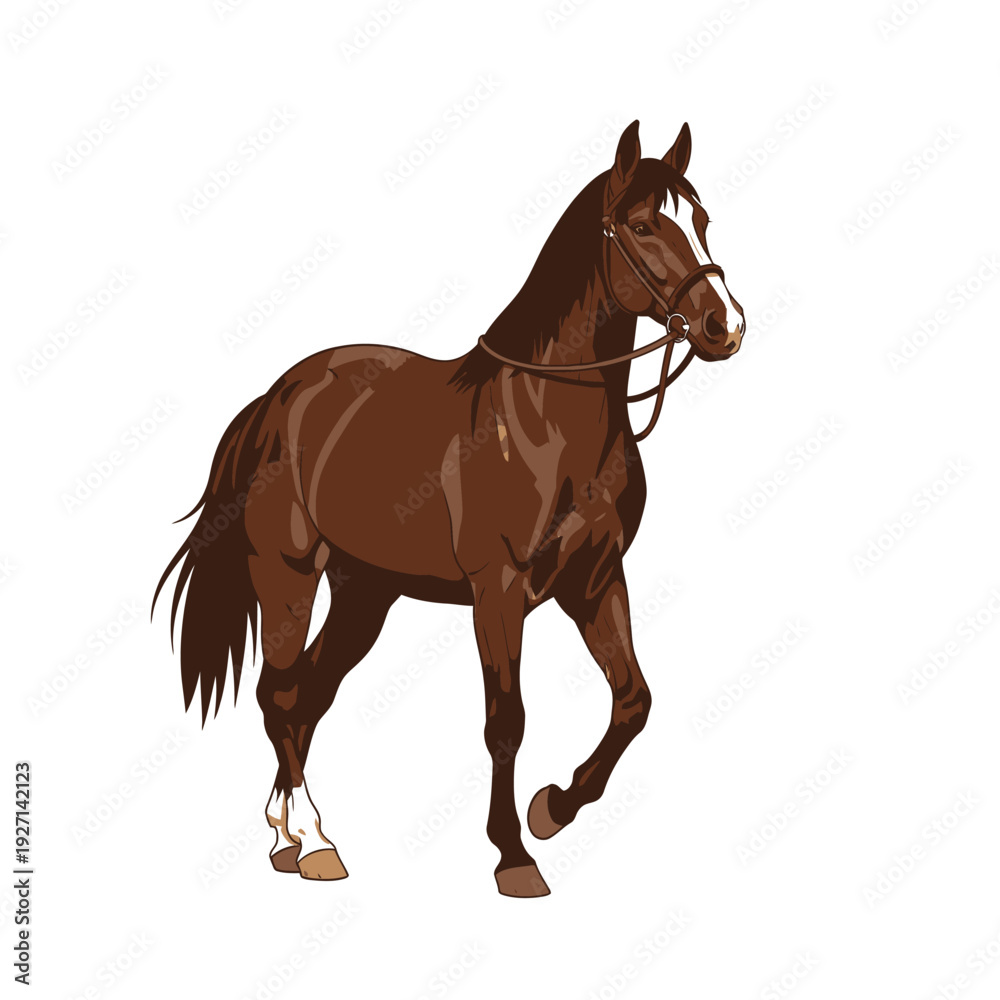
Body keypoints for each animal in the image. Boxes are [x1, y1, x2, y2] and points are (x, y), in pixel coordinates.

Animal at [154, 119, 745, 897]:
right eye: (643, 225)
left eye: (701, 222)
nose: (723, 325)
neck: (547, 420)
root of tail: (277, 400)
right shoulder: (498, 592)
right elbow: (506, 721)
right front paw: (514, 854)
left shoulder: (594, 580)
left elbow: (633, 701)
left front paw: (554, 807)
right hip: (289, 575)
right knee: (279, 695)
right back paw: (314, 841)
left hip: (364, 594)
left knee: (309, 695)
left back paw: (289, 835)